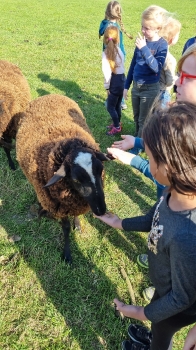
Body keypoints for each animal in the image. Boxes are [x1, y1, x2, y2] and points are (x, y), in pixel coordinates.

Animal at [16, 94, 108, 264]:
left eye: (100, 171)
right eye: (76, 180)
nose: (101, 210)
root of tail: (49, 95)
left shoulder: (74, 204)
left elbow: (76, 215)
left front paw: (77, 224)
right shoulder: (61, 207)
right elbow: (65, 229)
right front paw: (67, 254)